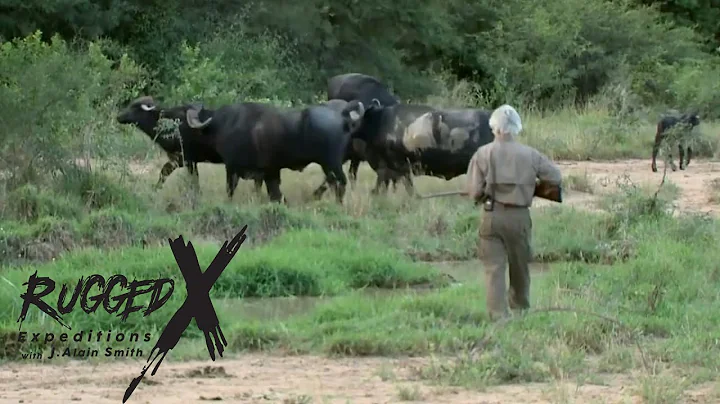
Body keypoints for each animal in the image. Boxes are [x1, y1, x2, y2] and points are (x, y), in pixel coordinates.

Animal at [116, 96, 264, 192]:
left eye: (135, 108)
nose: (119, 116)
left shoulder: (186, 160)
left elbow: (188, 178)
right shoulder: (180, 160)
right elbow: (168, 173)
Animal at [182, 99, 368, 204]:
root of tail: (343, 118)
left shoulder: (233, 168)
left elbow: (231, 188)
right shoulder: (268, 172)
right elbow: (273, 192)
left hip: (331, 163)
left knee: (339, 182)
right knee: (333, 182)